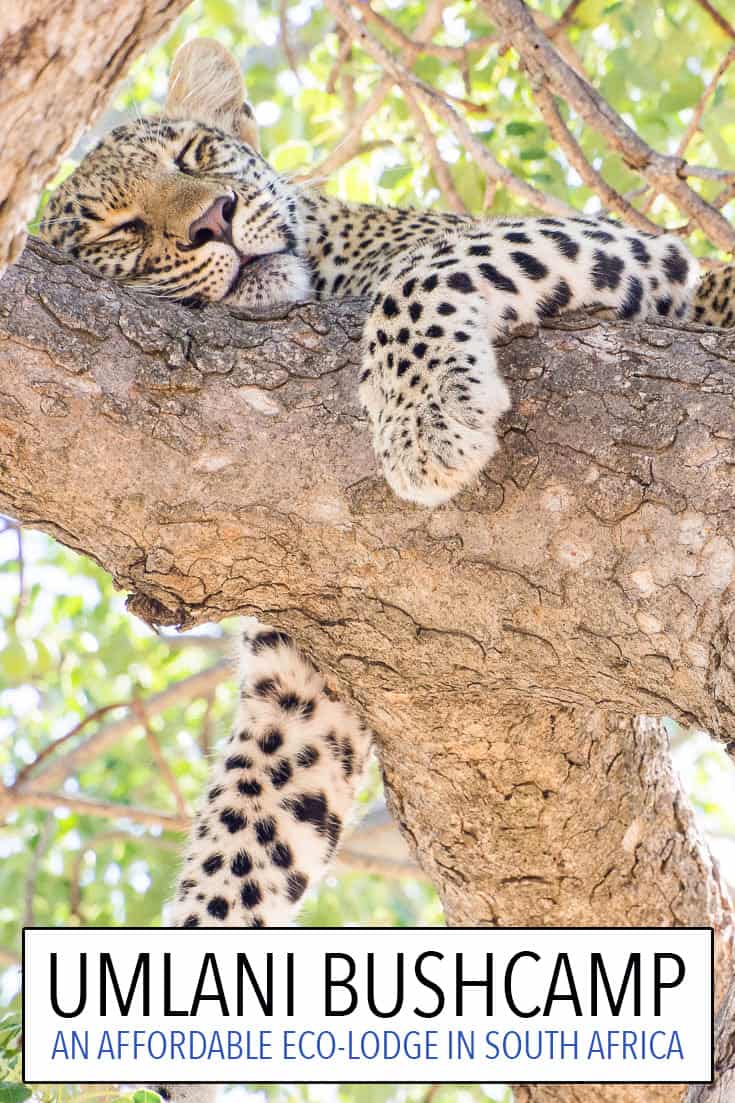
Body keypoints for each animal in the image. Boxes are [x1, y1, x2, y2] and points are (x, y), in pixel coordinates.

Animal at [37, 34, 732, 1103]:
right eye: (120, 227)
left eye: (196, 155)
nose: (212, 219)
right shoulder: (303, 679)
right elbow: (244, 845)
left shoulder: (616, 246)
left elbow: (428, 266)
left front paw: (426, 423)